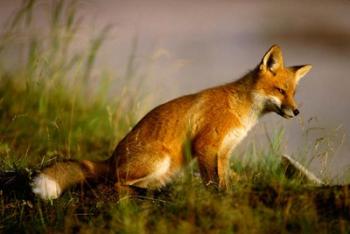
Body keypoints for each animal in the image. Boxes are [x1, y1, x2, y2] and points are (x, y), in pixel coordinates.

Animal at [32, 44, 312, 198]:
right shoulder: (206, 146)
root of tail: (110, 159)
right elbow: (211, 182)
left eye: (294, 93)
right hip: (160, 159)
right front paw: (216, 200)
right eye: (280, 91)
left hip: (169, 168)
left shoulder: (223, 152)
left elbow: (223, 180)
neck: (241, 111)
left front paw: (227, 196)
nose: (297, 111)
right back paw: (141, 193)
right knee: (116, 183)